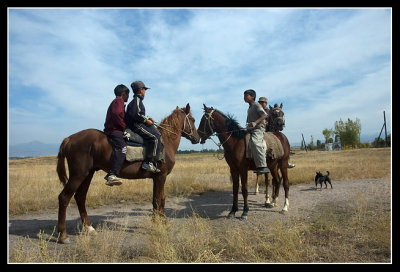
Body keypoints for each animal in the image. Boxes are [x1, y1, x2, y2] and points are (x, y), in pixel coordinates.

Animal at [56, 103, 200, 243]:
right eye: (193, 120)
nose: (197, 138)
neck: (166, 141)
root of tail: (69, 139)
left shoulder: (157, 178)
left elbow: (158, 200)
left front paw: (157, 222)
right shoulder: (161, 177)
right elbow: (159, 200)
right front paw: (162, 223)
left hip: (88, 174)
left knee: (80, 197)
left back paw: (89, 228)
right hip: (78, 175)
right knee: (64, 198)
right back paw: (63, 235)